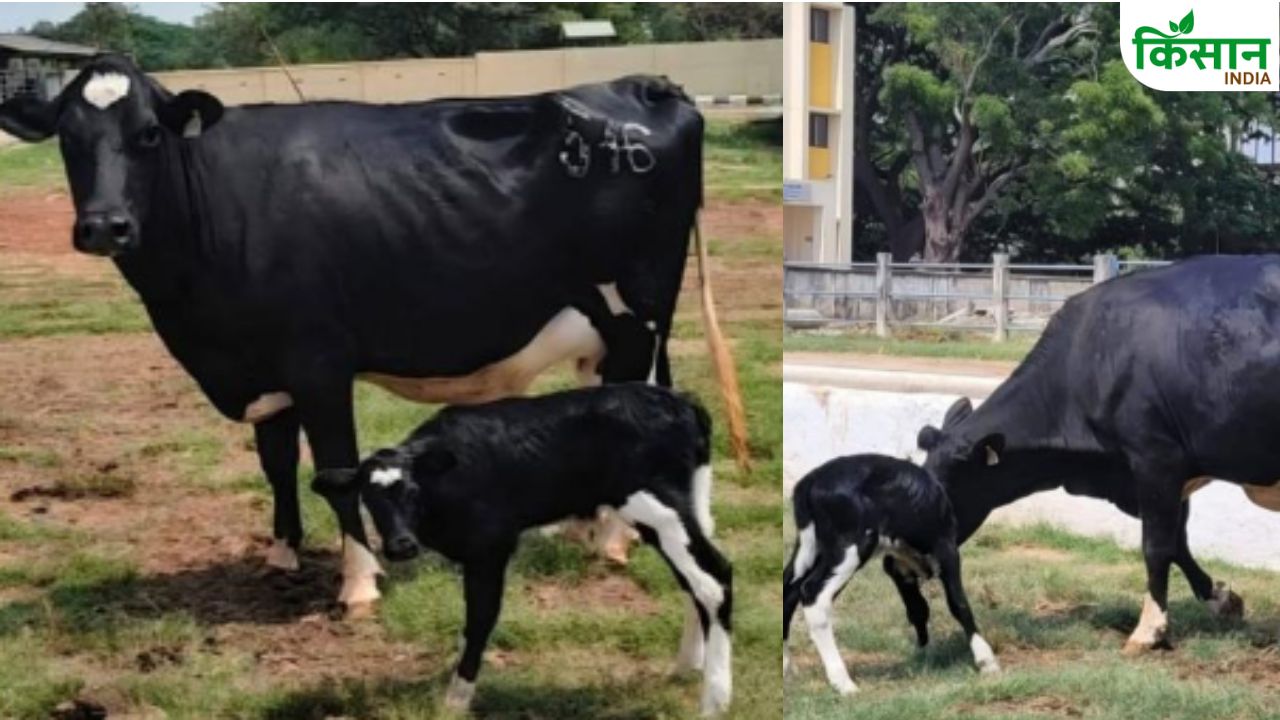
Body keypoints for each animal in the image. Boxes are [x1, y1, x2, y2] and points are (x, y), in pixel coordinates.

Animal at [0, 54, 747, 610]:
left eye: (149, 134)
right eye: (68, 136)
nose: (105, 225)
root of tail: (644, 84)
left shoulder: (318, 361)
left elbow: (334, 473)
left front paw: (359, 584)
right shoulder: (263, 366)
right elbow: (275, 462)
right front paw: (281, 554)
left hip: (637, 315)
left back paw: (613, 541)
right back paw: (595, 525)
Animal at [311, 384, 733, 716]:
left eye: (413, 491)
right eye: (368, 499)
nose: (401, 546)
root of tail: (680, 401)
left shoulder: (490, 547)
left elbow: (480, 619)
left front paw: (456, 698)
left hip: (657, 508)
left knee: (713, 578)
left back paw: (715, 700)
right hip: (686, 506)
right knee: (691, 582)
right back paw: (687, 666)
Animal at [783, 454, 998, 695]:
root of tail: (811, 479)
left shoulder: (899, 564)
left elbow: (917, 609)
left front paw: (925, 656)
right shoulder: (946, 548)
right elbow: (958, 603)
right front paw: (986, 660)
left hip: (812, 548)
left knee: (789, 589)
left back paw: (786, 668)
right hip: (851, 546)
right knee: (813, 594)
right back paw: (844, 683)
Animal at [915, 255, 1280, 655]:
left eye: (941, 494)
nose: (913, 560)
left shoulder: (1155, 459)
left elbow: (1156, 546)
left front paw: (1148, 631)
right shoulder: (1153, 476)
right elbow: (1177, 543)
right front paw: (1223, 600)